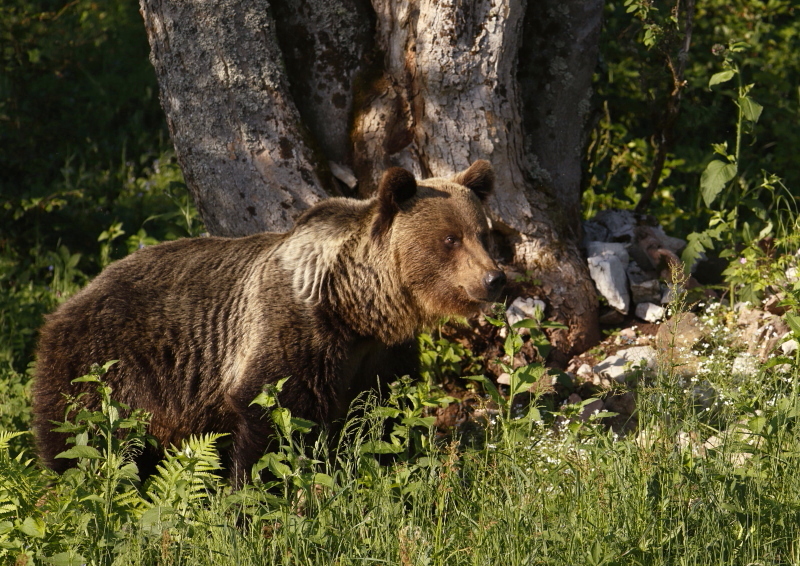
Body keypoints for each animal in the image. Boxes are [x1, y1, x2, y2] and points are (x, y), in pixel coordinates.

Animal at [36, 160, 506, 484]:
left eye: (484, 233)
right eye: (450, 239)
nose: (494, 278)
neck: (354, 307)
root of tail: (72, 297)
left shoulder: (379, 356)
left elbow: (380, 414)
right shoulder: (293, 334)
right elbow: (271, 412)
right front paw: (252, 495)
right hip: (105, 367)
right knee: (84, 437)